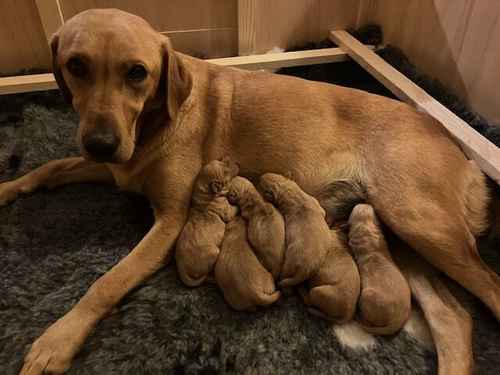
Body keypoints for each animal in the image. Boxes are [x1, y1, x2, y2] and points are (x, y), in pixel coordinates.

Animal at [175, 159, 239, 288]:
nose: (238, 163)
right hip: (215, 253)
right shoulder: (227, 211)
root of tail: (180, 266)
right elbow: (234, 209)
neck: (205, 193)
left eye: (222, 162)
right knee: (206, 276)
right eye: (227, 174)